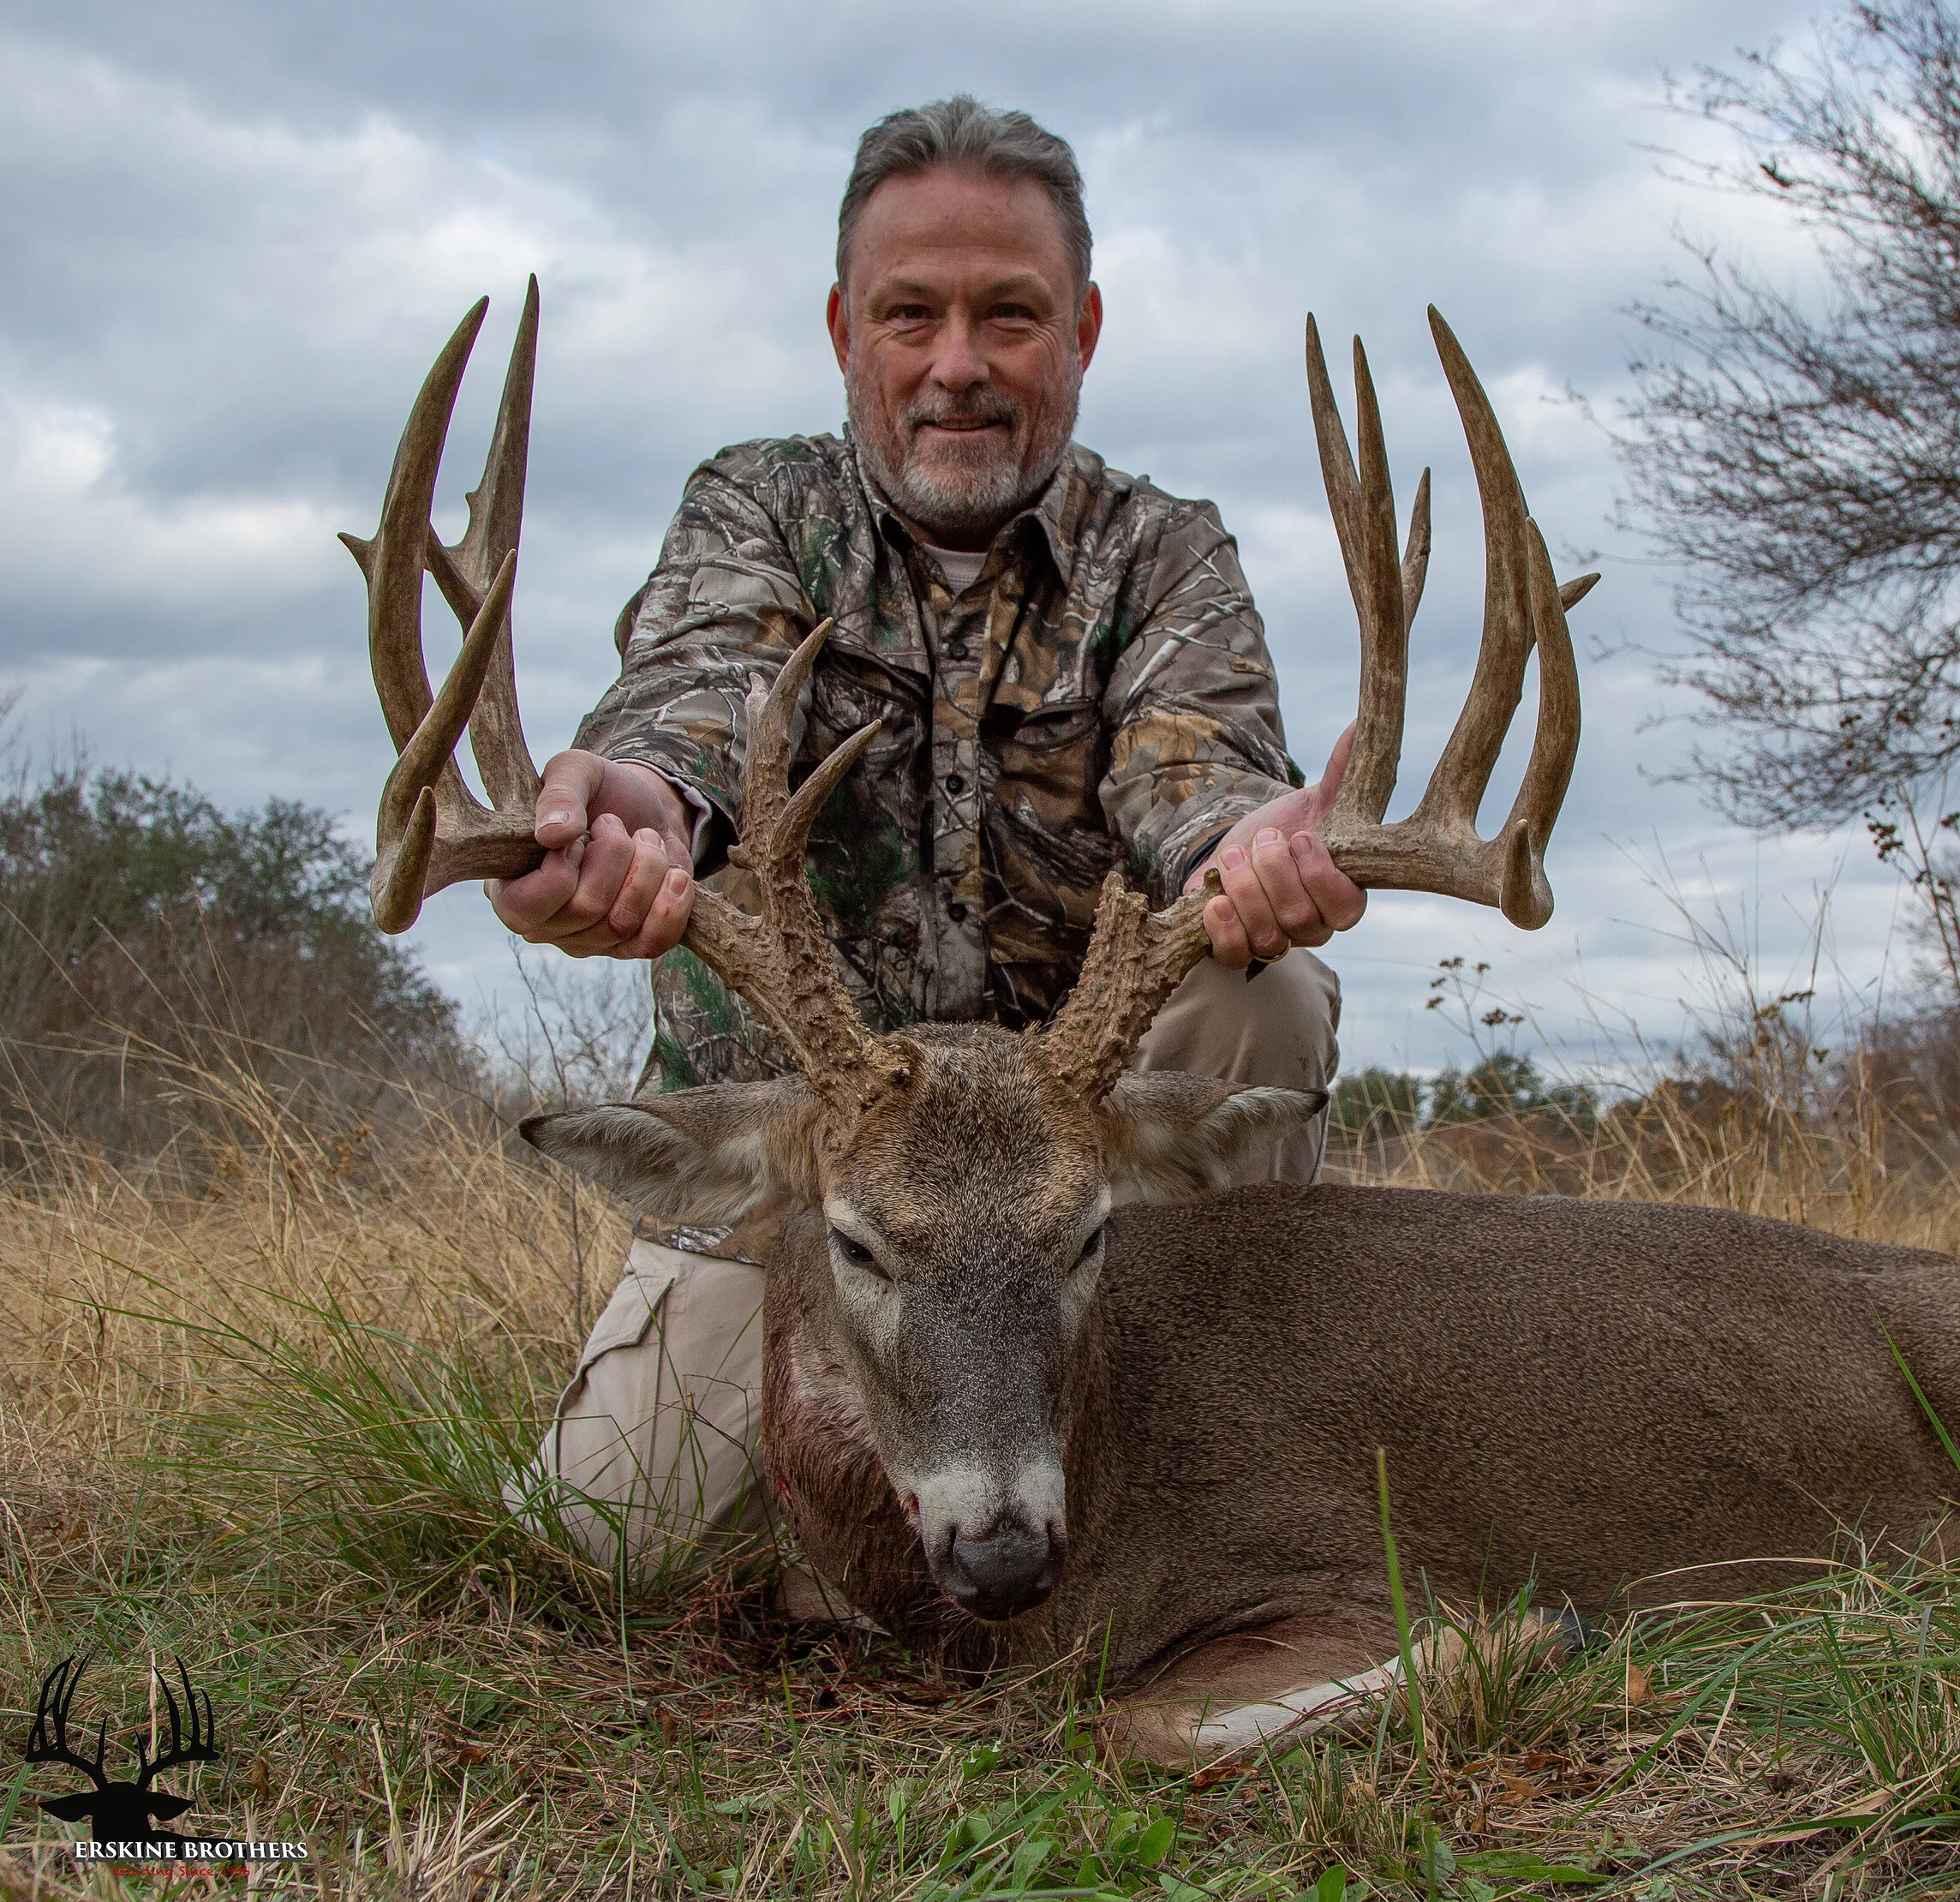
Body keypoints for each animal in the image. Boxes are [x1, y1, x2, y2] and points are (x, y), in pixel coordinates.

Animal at [344, 283, 1960, 1765]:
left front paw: (1539, 1633)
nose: (1005, 1555)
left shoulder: (1316, 1559)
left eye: (1088, 1233)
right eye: (855, 1239)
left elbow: (1144, 1724)